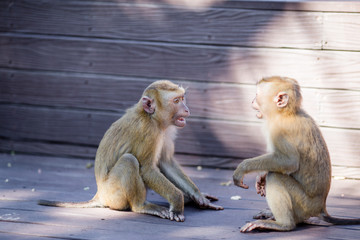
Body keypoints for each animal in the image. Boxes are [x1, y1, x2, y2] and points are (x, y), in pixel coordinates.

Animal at [38, 80, 222, 221]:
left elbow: (166, 162)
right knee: (129, 160)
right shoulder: (149, 133)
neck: (152, 117)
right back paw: (141, 206)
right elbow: (148, 170)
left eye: (182, 98)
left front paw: (198, 196)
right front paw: (178, 202)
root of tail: (100, 194)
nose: (187, 109)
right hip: (114, 194)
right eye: (176, 101)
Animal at [233, 76, 360, 232]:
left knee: (275, 176)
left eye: (257, 95)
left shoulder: (278, 130)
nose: (252, 100)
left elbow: (289, 162)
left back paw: (284, 224)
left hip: (304, 204)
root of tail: (321, 208)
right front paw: (260, 176)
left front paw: (243, 168)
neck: (286, 113)